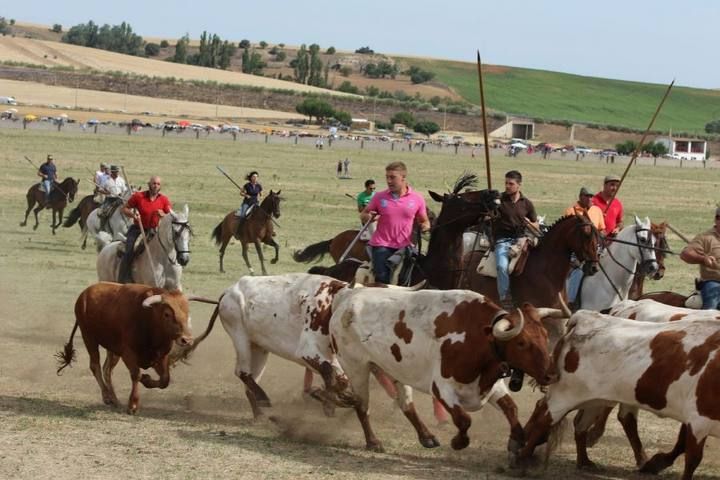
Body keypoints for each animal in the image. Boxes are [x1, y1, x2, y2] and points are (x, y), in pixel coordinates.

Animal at [56, 284, 195, 414]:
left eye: (187, 313)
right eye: (167, 314)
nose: (186, 339)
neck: (149, 319)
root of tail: (84, 294)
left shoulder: (160, 356)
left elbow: (165, 379)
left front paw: (146, 379)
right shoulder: (128, 354)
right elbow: (136, 375)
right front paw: (133, 404)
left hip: (112, 349)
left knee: (107, 370)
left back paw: (114, 399)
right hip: (89, 338)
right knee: (95, 366)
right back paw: (107, 396)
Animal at [330, 286, 560, 452]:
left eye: (545, 335)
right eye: (521, 343)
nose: (551, 375)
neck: (478, 336)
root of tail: (347, 297)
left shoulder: (491, 386)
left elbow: (511, 408)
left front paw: (517, 439)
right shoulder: (442, 389)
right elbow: (464, 419)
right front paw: (458, 442)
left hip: (394, 369)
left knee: (406, 404)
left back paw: (427, 437)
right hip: (356, 368)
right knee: (362, 406)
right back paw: (373, 442)